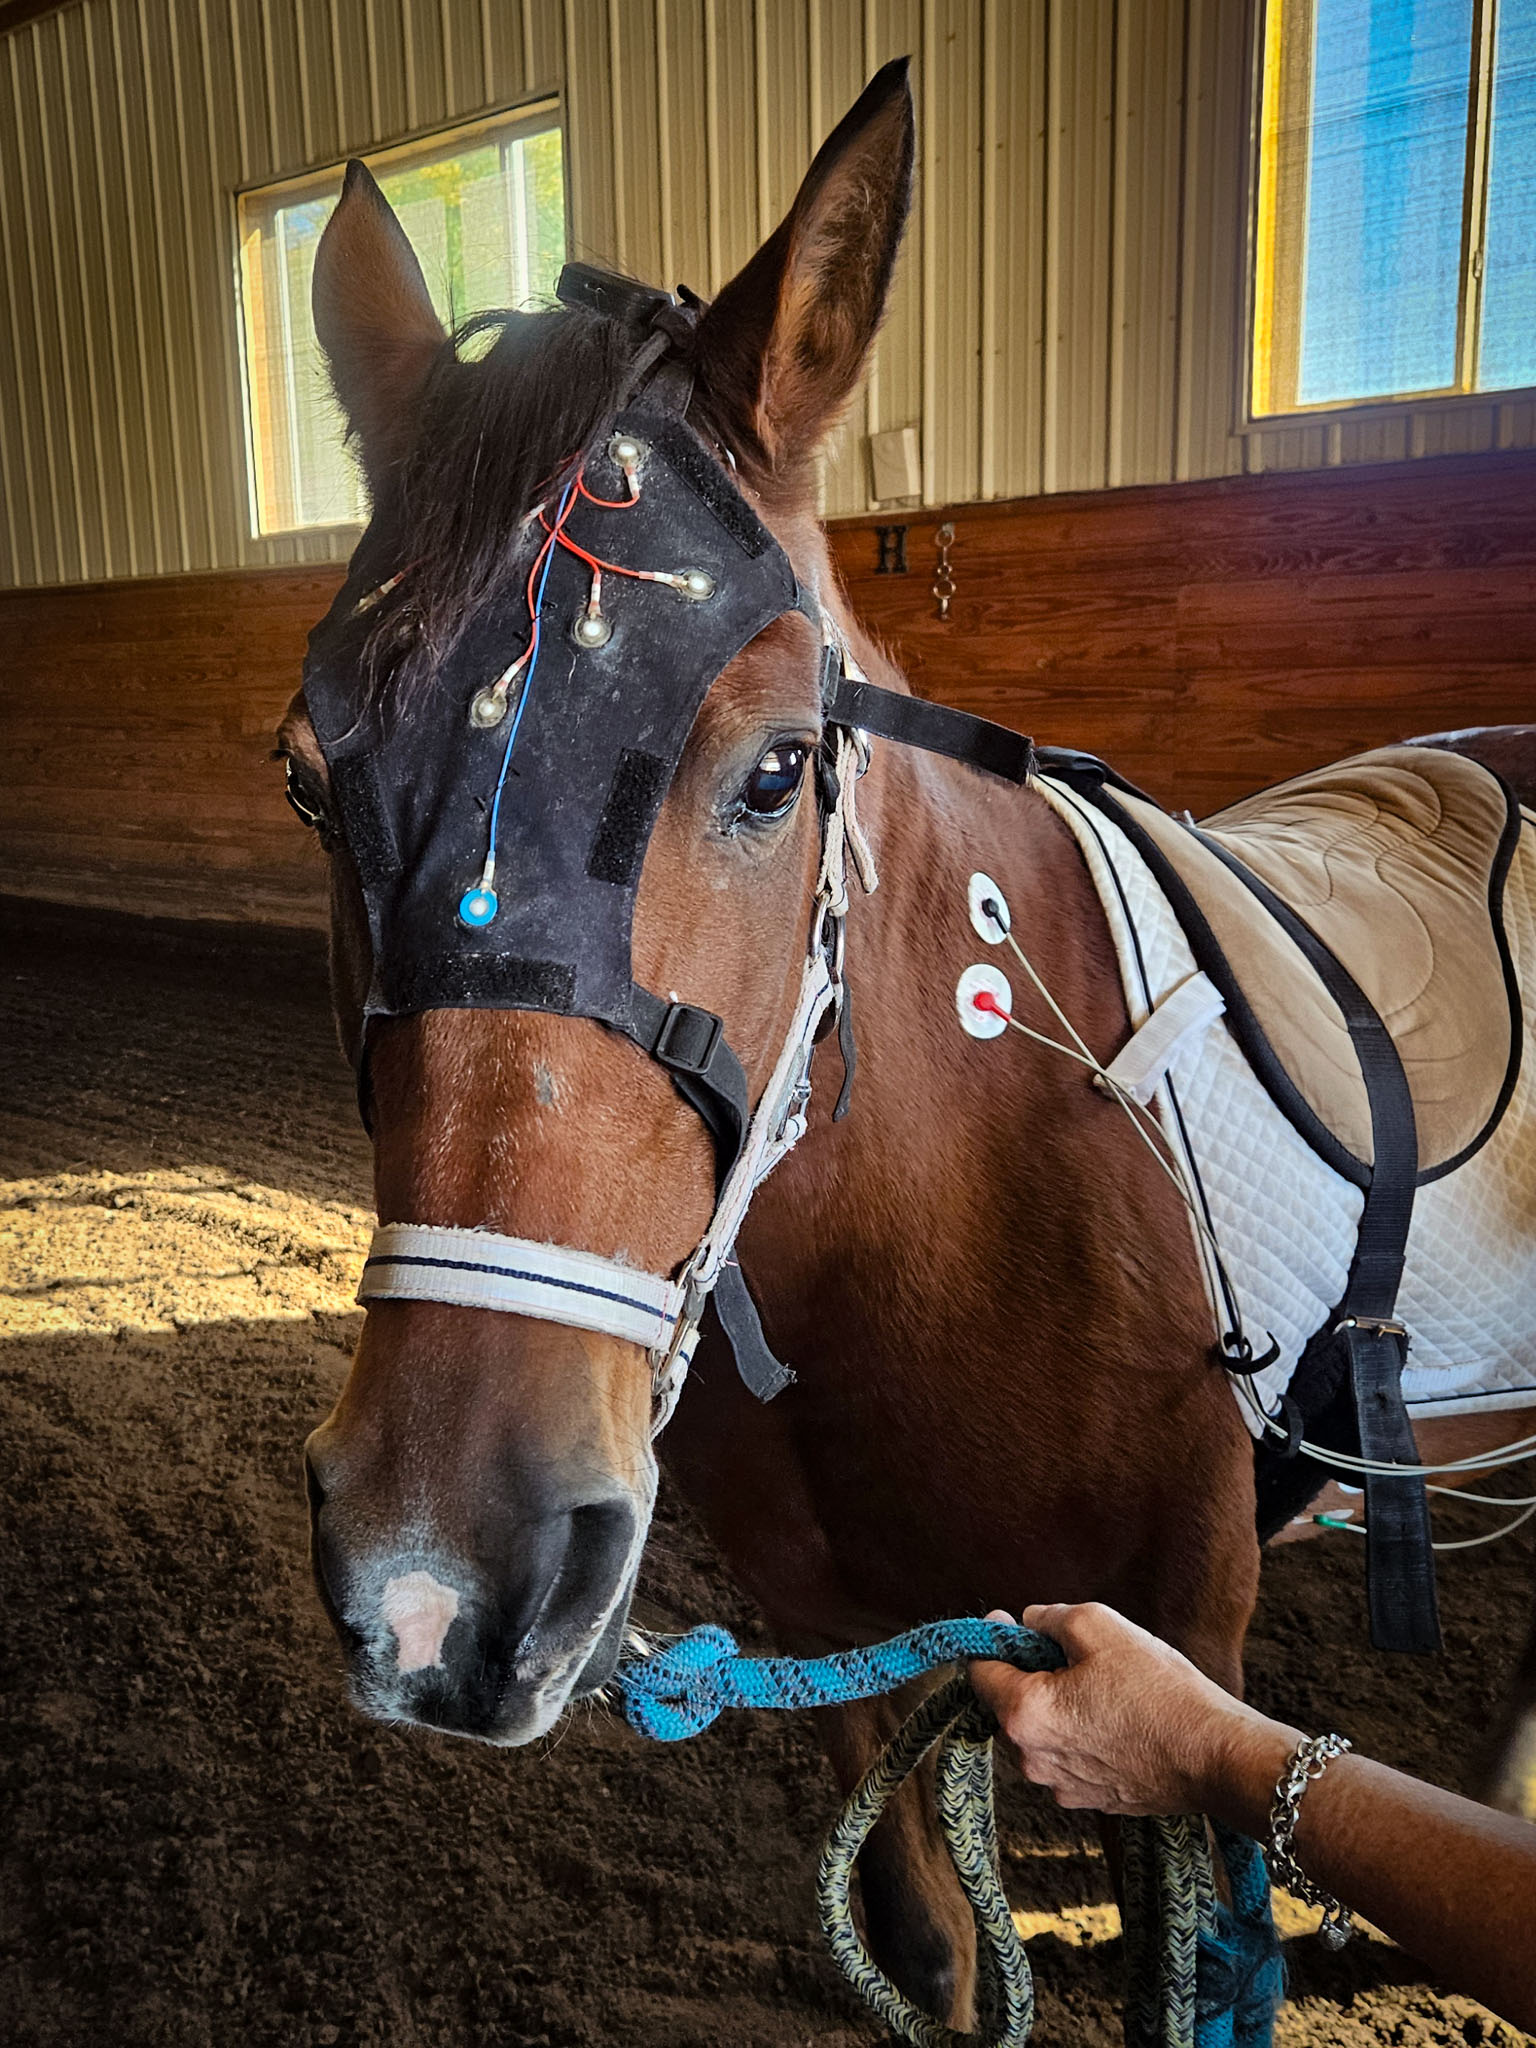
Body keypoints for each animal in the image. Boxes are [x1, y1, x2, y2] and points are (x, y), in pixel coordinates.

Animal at [278, 60, 1536, 2025]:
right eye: (312, 782)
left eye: (779, 765)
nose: (439, 1579)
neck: (957, 1208)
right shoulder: (834, 1642)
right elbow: (932, 1947)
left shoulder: (1175, 1663)